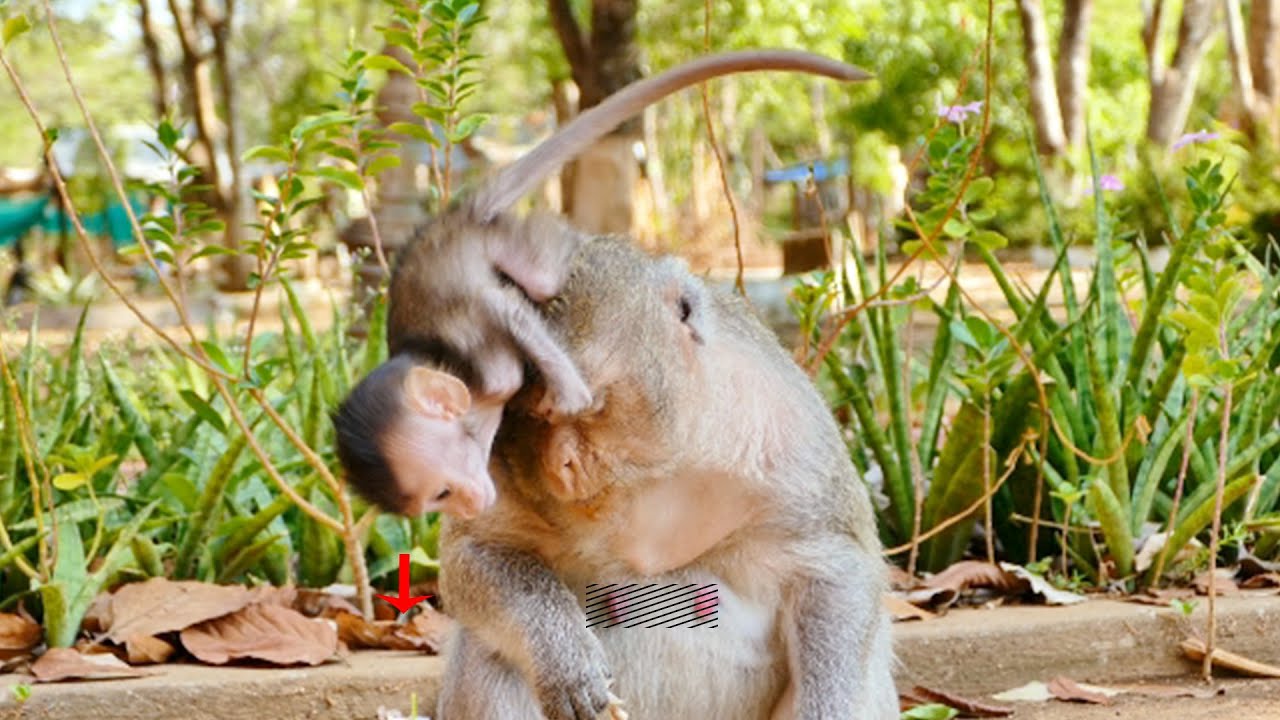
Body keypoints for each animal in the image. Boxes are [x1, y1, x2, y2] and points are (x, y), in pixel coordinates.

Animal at [345, 50, 894, 719]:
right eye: (533, 420)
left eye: (582, 409)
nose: (565, 465)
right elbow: (478, 558)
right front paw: (565, 662)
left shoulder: (789, 446)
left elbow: (836, 570)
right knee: (493, 656)